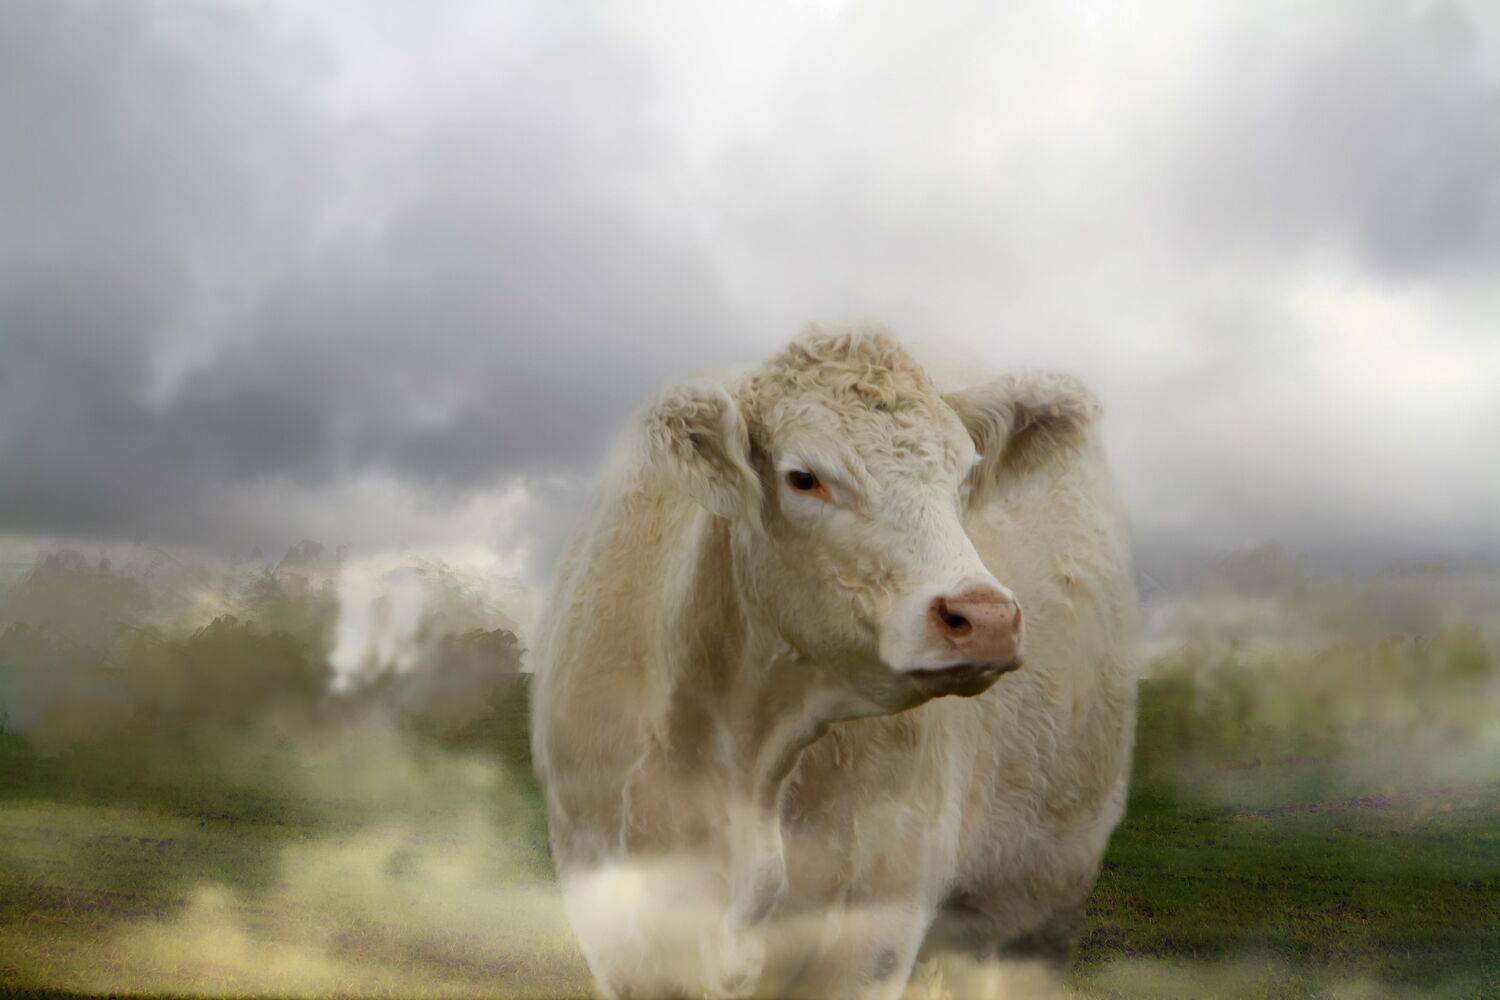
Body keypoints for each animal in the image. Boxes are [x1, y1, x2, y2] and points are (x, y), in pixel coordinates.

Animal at [531, 326, 1138, 998]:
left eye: (963, 479)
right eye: (803, 478)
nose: (986, 618)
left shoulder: (873, 933)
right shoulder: (617, 931)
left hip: (1039, 912)